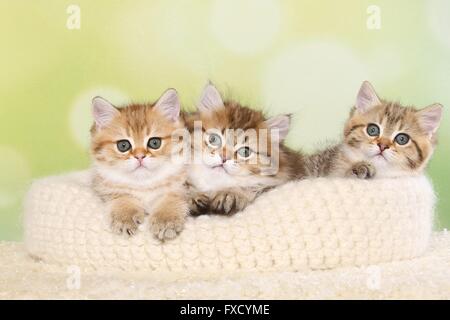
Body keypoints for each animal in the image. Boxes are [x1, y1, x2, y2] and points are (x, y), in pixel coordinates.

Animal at [90, 89, 189, 239]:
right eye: (123, 145)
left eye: (155, 143)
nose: (140, 156)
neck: (144, 184)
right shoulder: (110, 189)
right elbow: (122, 198)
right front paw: (124, 216)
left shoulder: (182, 188)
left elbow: (171, 200)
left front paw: (165, 220)